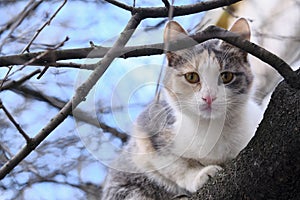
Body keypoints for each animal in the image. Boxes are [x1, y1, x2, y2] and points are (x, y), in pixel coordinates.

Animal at [101, 18, 262, 199]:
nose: (209, 97)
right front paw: (200, 174)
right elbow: (177, 166)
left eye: (226, 76)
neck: (211, 127)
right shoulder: (147, 130)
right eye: (191, 77)